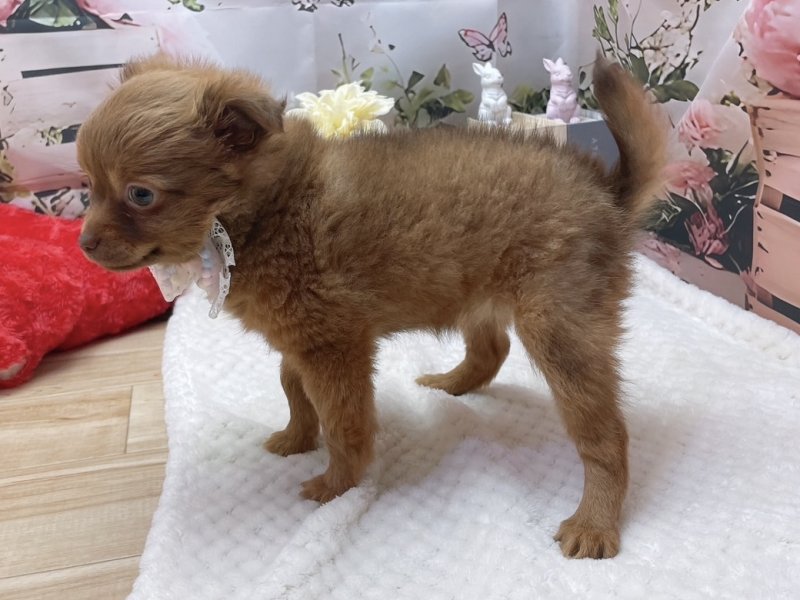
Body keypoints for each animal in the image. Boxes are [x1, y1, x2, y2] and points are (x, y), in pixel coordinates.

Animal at [77, 53, 665, 559]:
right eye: (89, 185)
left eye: (140, 195)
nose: (83, 243)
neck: (267, 210)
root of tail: (606, 192)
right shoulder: (304, 341)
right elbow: (292, 387)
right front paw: (296, 437)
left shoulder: (333, 348)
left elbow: (344, 423)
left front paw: (336, 485)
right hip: (480, 299)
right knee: (491, 350)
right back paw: (449, 385)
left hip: (560, 331)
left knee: (605, 437)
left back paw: (594, 523)